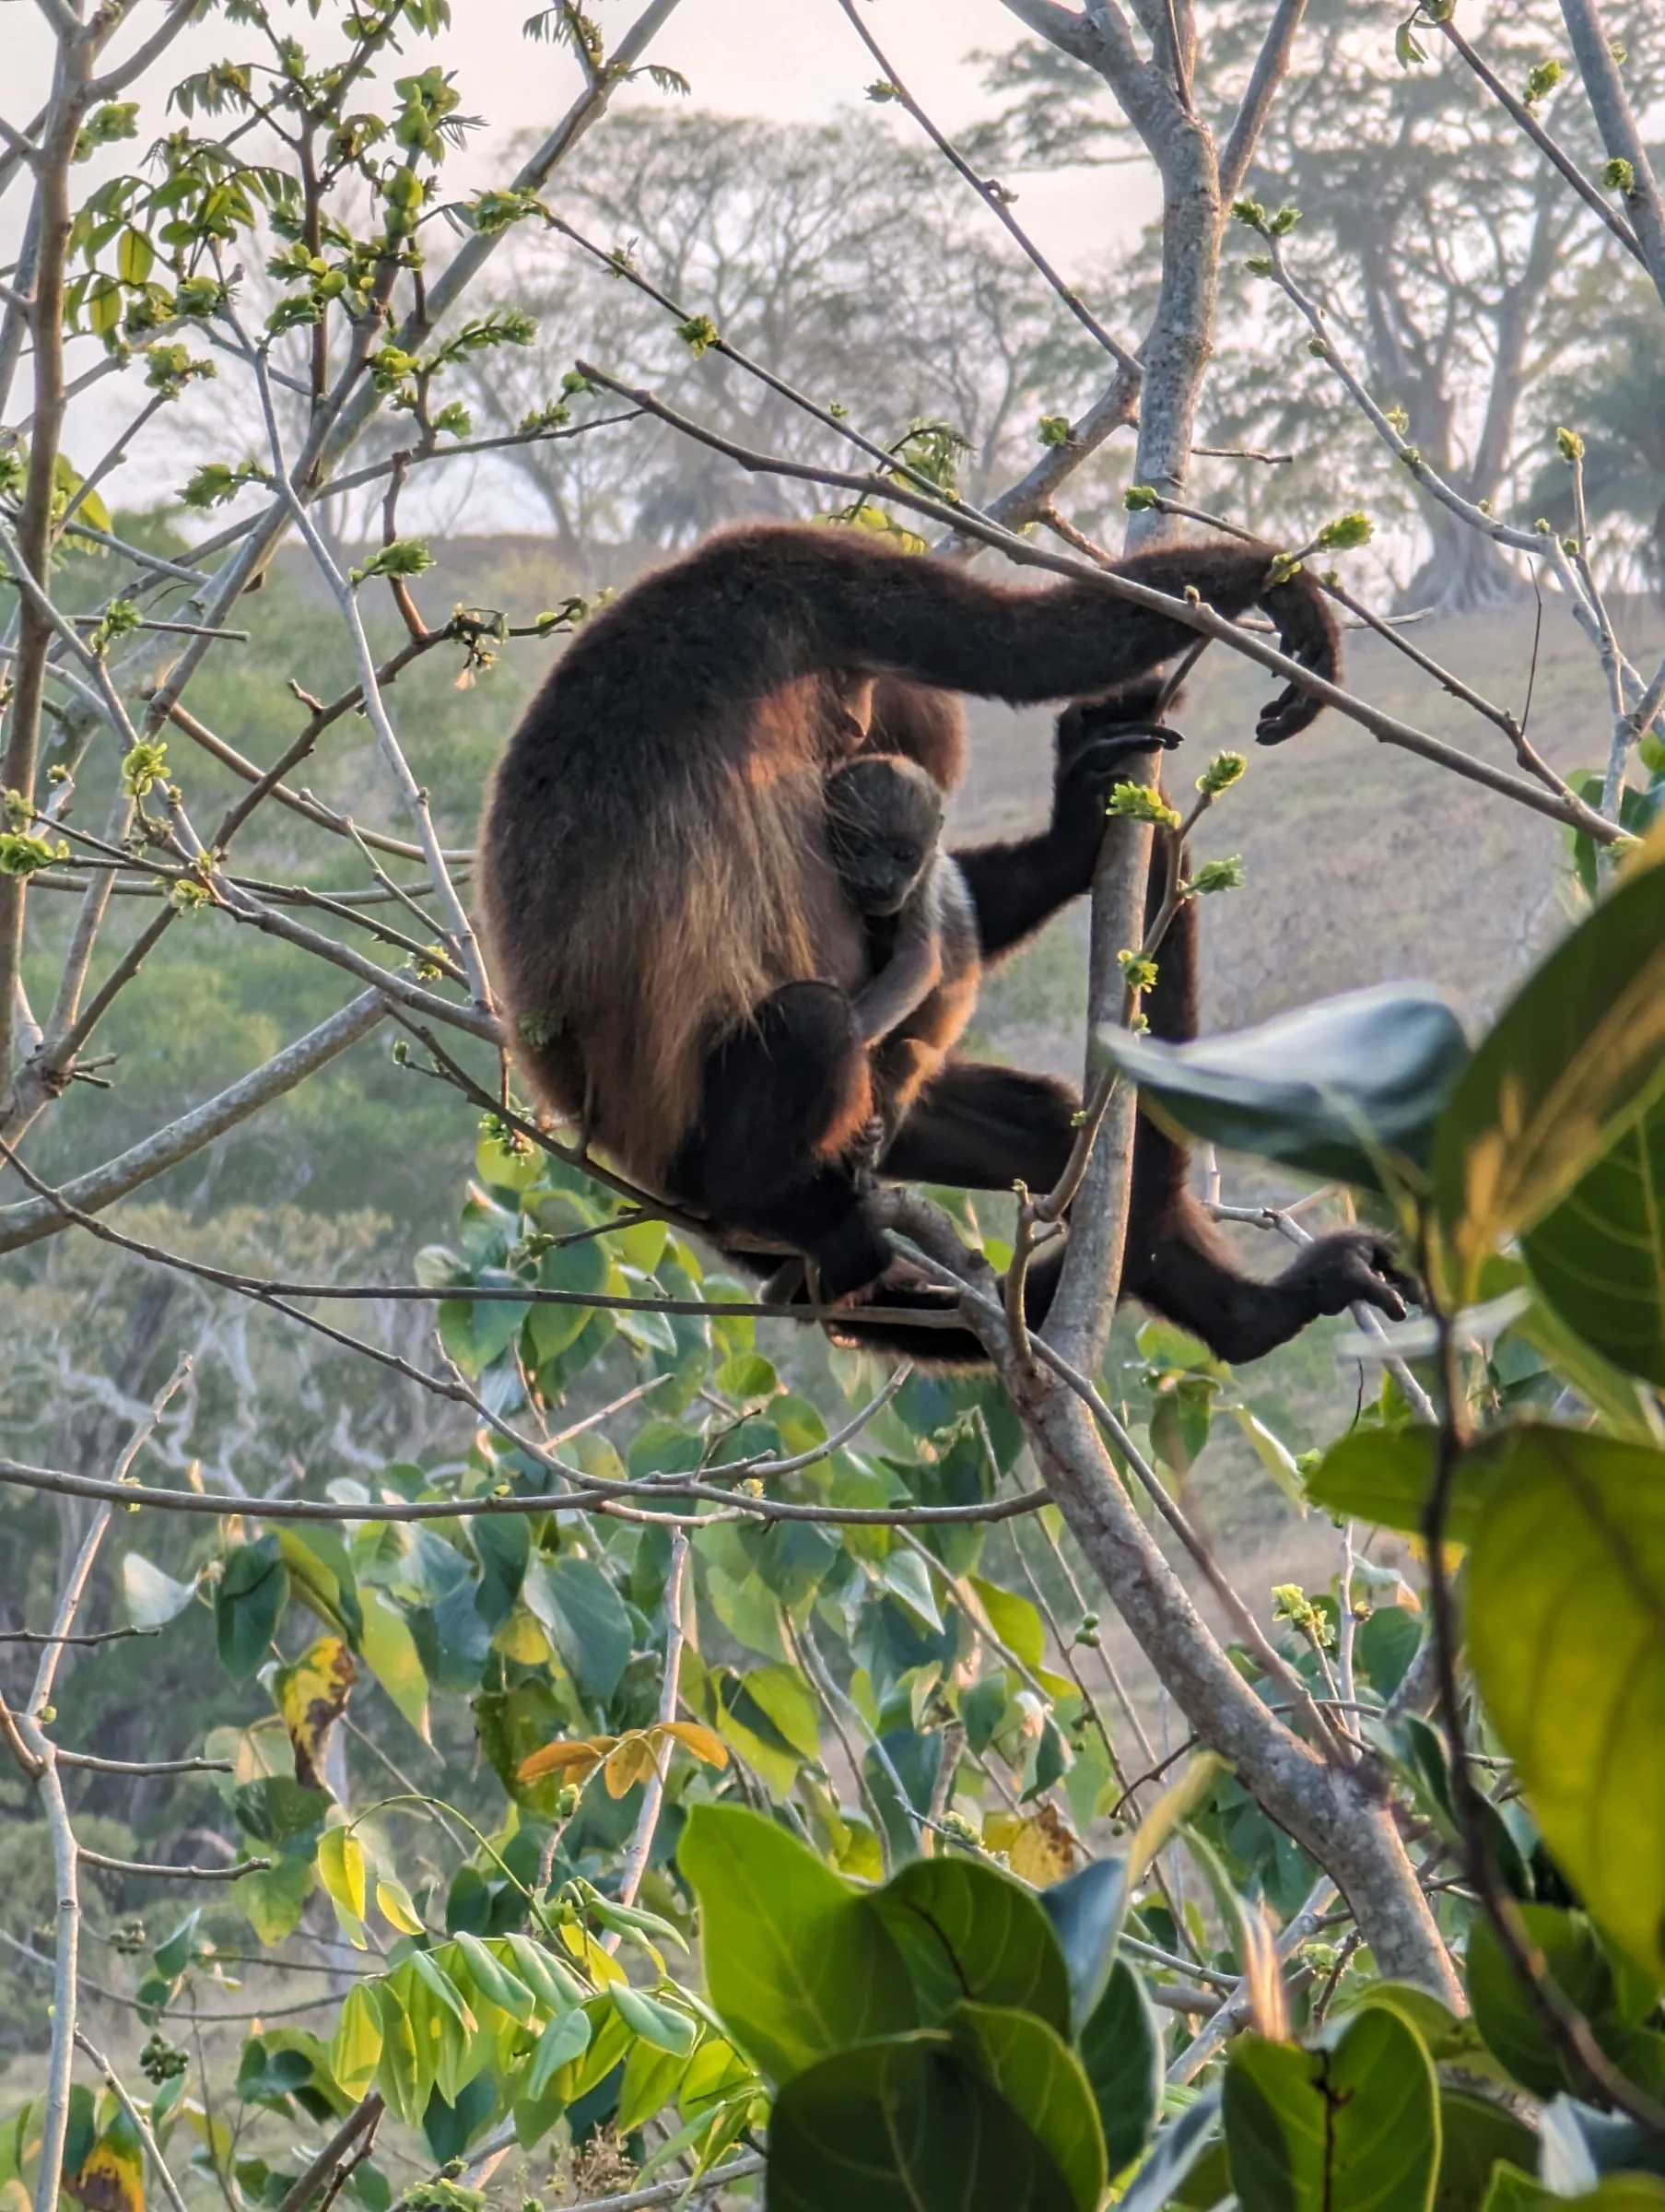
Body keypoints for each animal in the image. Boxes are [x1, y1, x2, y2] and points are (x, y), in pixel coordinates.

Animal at [477, 519, 1410, 1361]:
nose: (857, 731)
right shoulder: (792, 577)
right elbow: (1031, 645)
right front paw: (1273, 582)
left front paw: (1077, 826)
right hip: (696, 1149)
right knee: (810, 1024)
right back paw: (786, 1210)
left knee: (1049, 1126)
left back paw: (1246, 1315)